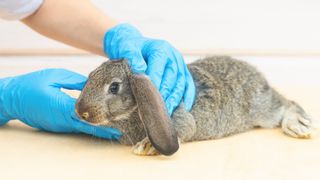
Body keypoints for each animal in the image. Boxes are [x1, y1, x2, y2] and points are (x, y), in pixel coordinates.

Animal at [74, 56, 316, 156]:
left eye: (114, 87)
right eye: (90, 75)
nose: (79, 111)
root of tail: (256, 72)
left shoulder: (180, 117)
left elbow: (185, 128)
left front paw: (148, 146)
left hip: (262, 109)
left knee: (287, 104)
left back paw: (299, 125)